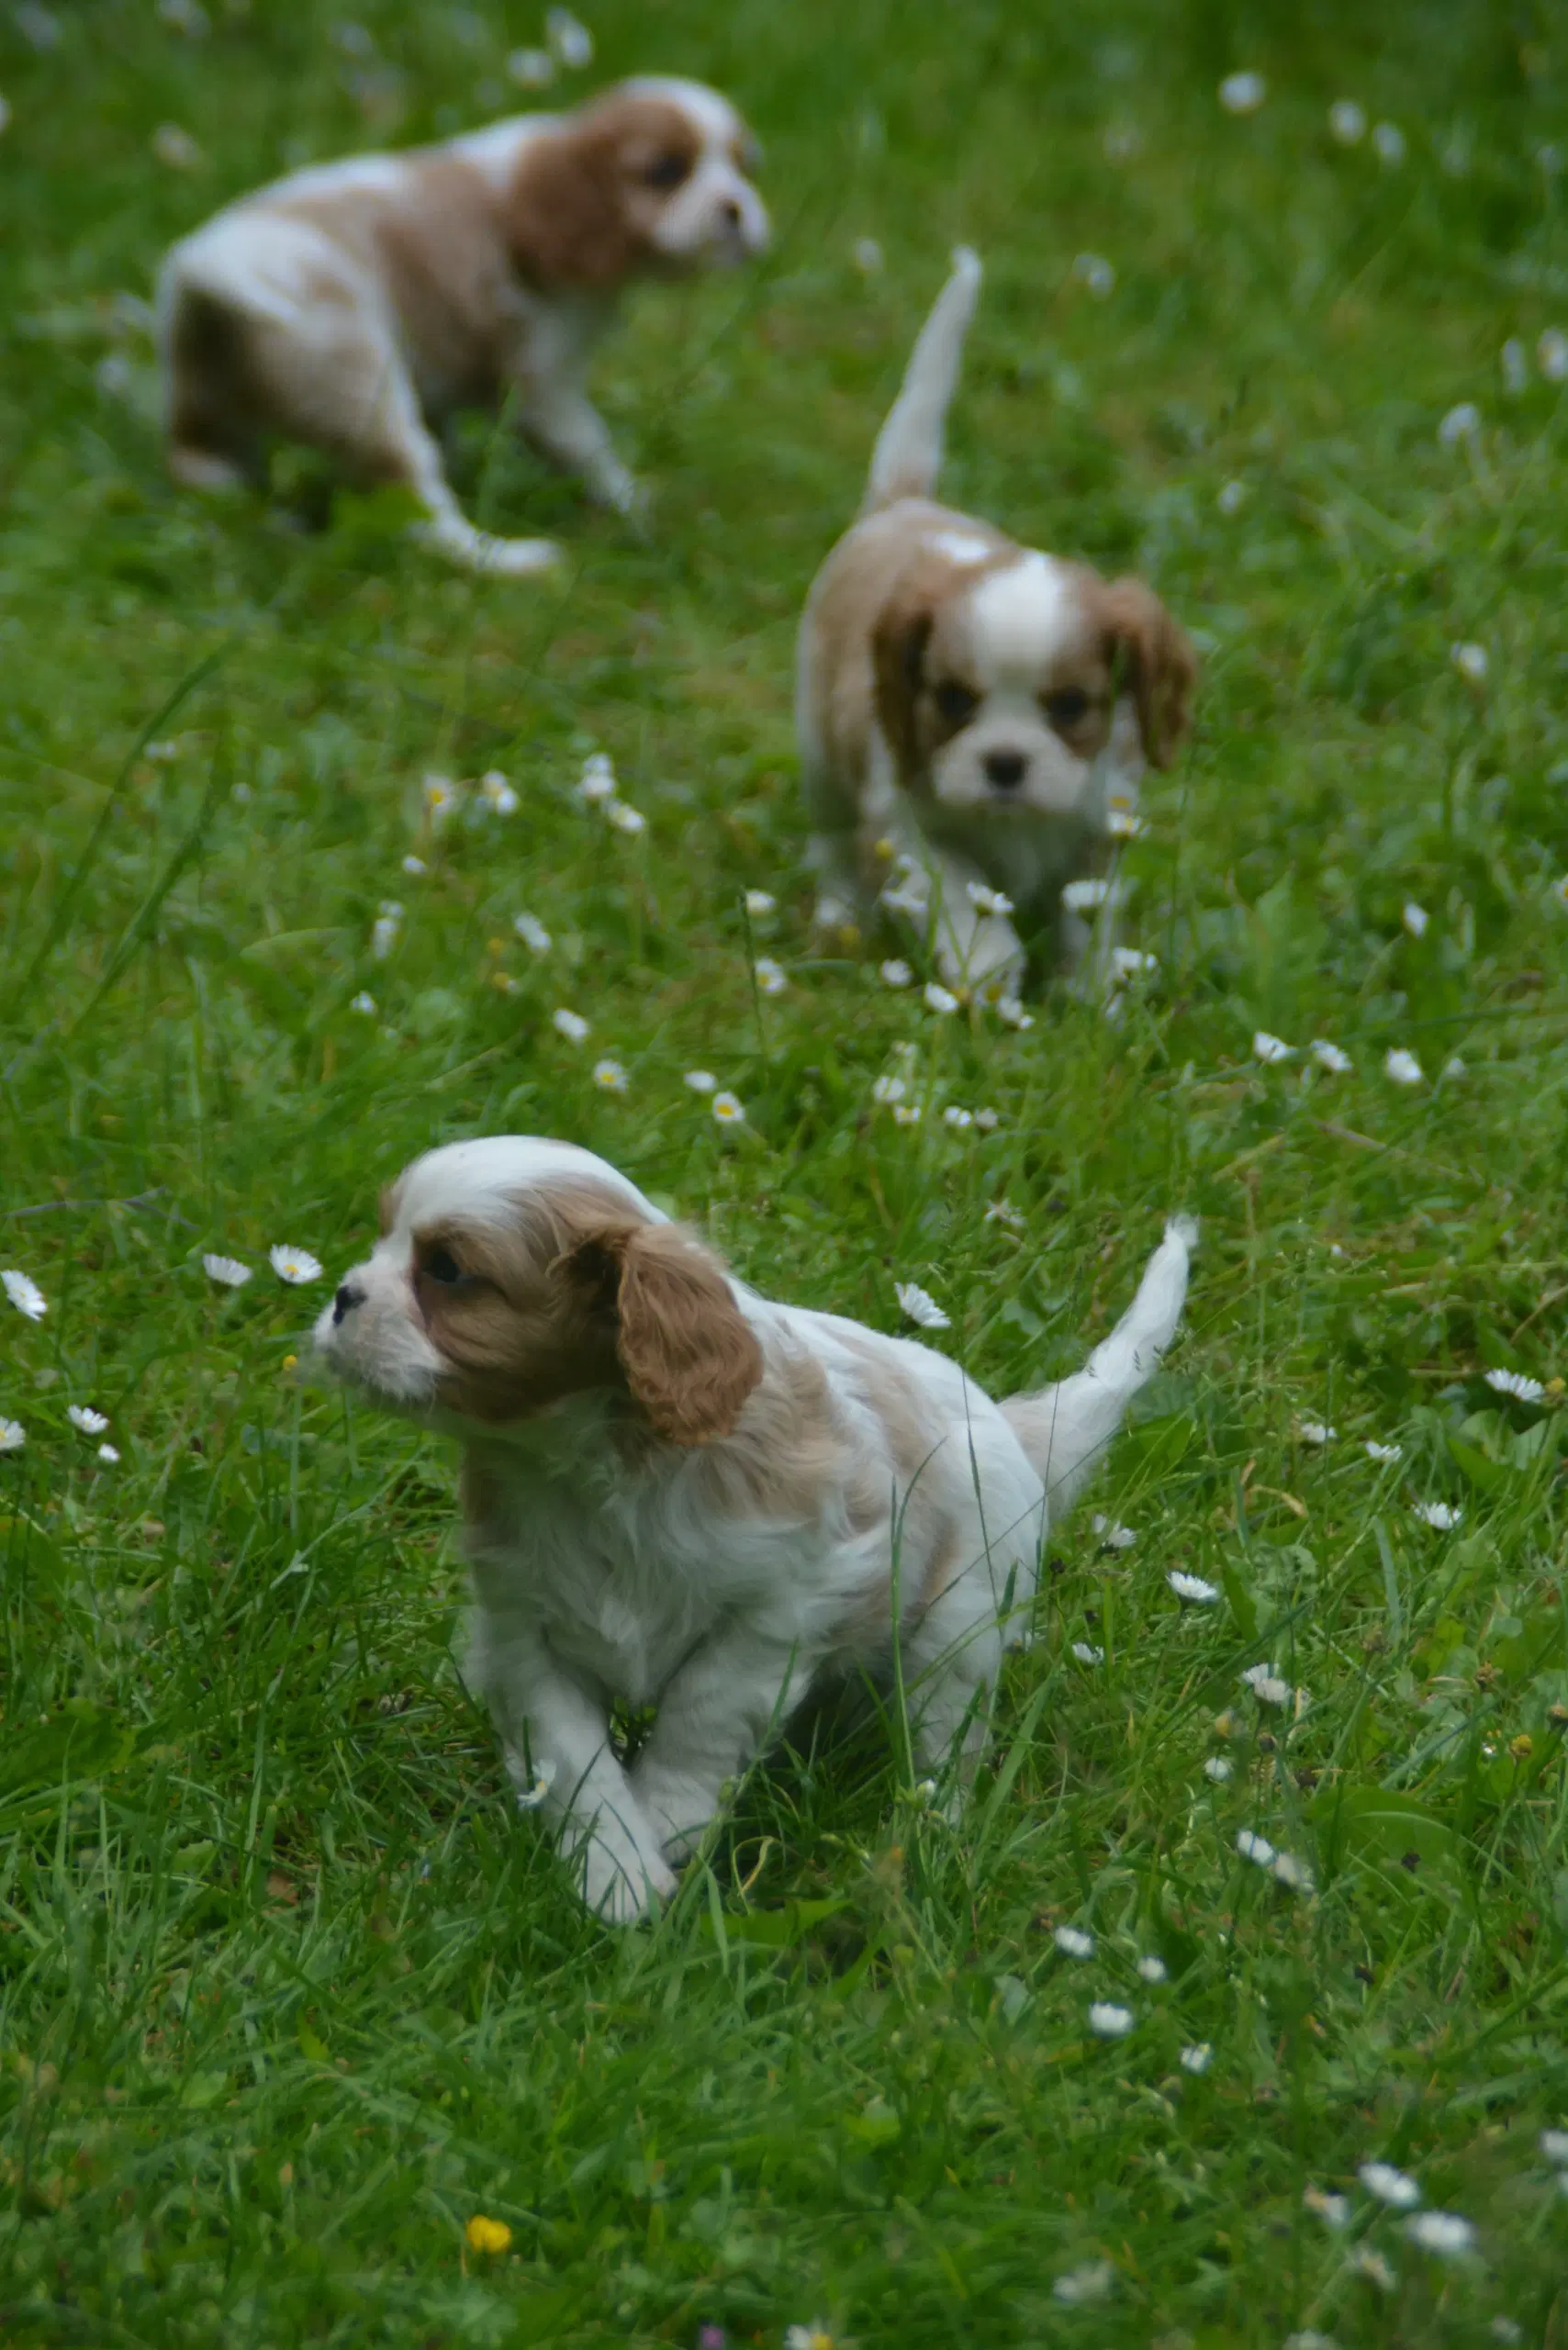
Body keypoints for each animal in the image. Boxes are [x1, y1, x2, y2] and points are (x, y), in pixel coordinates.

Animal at [156, 76, 770, 573]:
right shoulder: (541, 378)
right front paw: (631, 500)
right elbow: (586, 445)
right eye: (665, 172)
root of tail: (205, 268)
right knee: (419, 509)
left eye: (744, 168)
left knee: (201, 465)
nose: (738, 210)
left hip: (203, 397)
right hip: (363, 389)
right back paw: (508, 559)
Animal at [319, 1137, 1204, 1927]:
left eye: (447, 1271)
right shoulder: (522, 1632)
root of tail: (1009, 1425)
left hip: (958, 1625)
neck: (582, 1467)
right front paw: (616, 1874)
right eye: (383, 1236)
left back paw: (928, 1838)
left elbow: (704, 1712)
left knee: (944, 1744)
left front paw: (665, 1818)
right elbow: (572, 1758)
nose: (341, 1295)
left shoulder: (789, 1597)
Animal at [803, 245, 1193, 991]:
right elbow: (959, 892)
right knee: (833, 838)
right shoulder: (907, 826)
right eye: (954, 700)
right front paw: (989, 970)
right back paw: (839, 911)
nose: (1005, 764)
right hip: (818, 750)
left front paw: (1090, 993)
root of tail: (902, 502)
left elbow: (1089, 920)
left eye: (1070, 706)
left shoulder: (1101, 832)